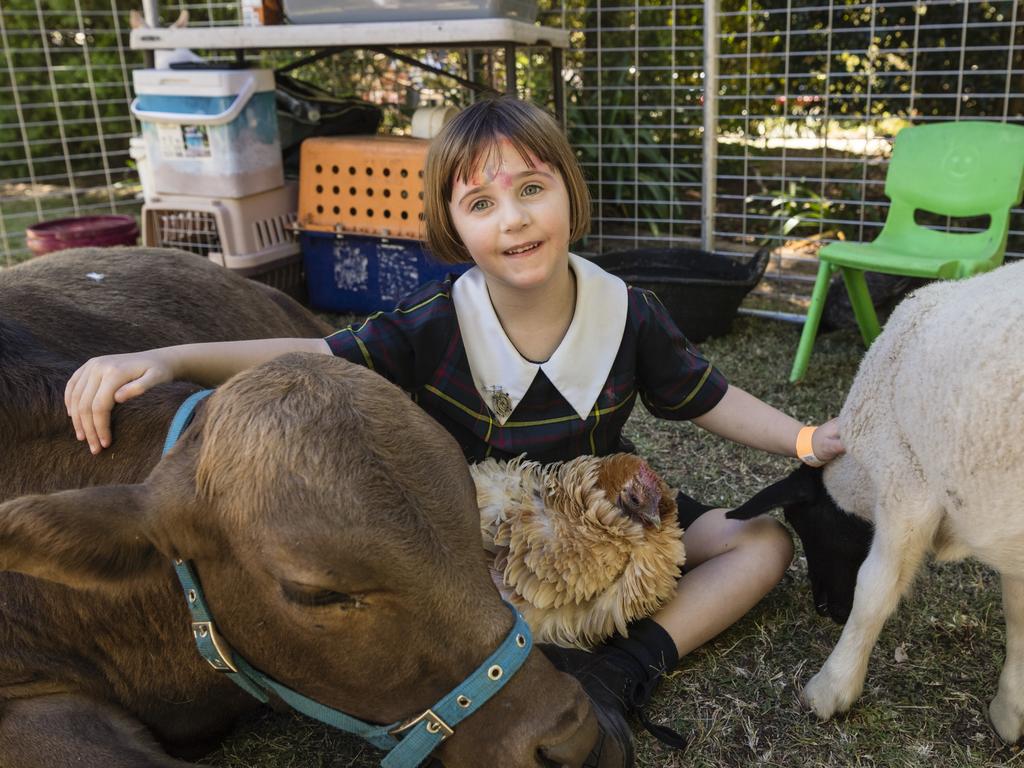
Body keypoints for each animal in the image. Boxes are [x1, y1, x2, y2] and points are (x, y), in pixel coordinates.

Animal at [733, 260, 1024, 745]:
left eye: (800, 519)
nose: (826, 610)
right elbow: (1018, 612)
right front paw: (1011, 710)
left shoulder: (905, 481)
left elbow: (874, 588)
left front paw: (830, 689)